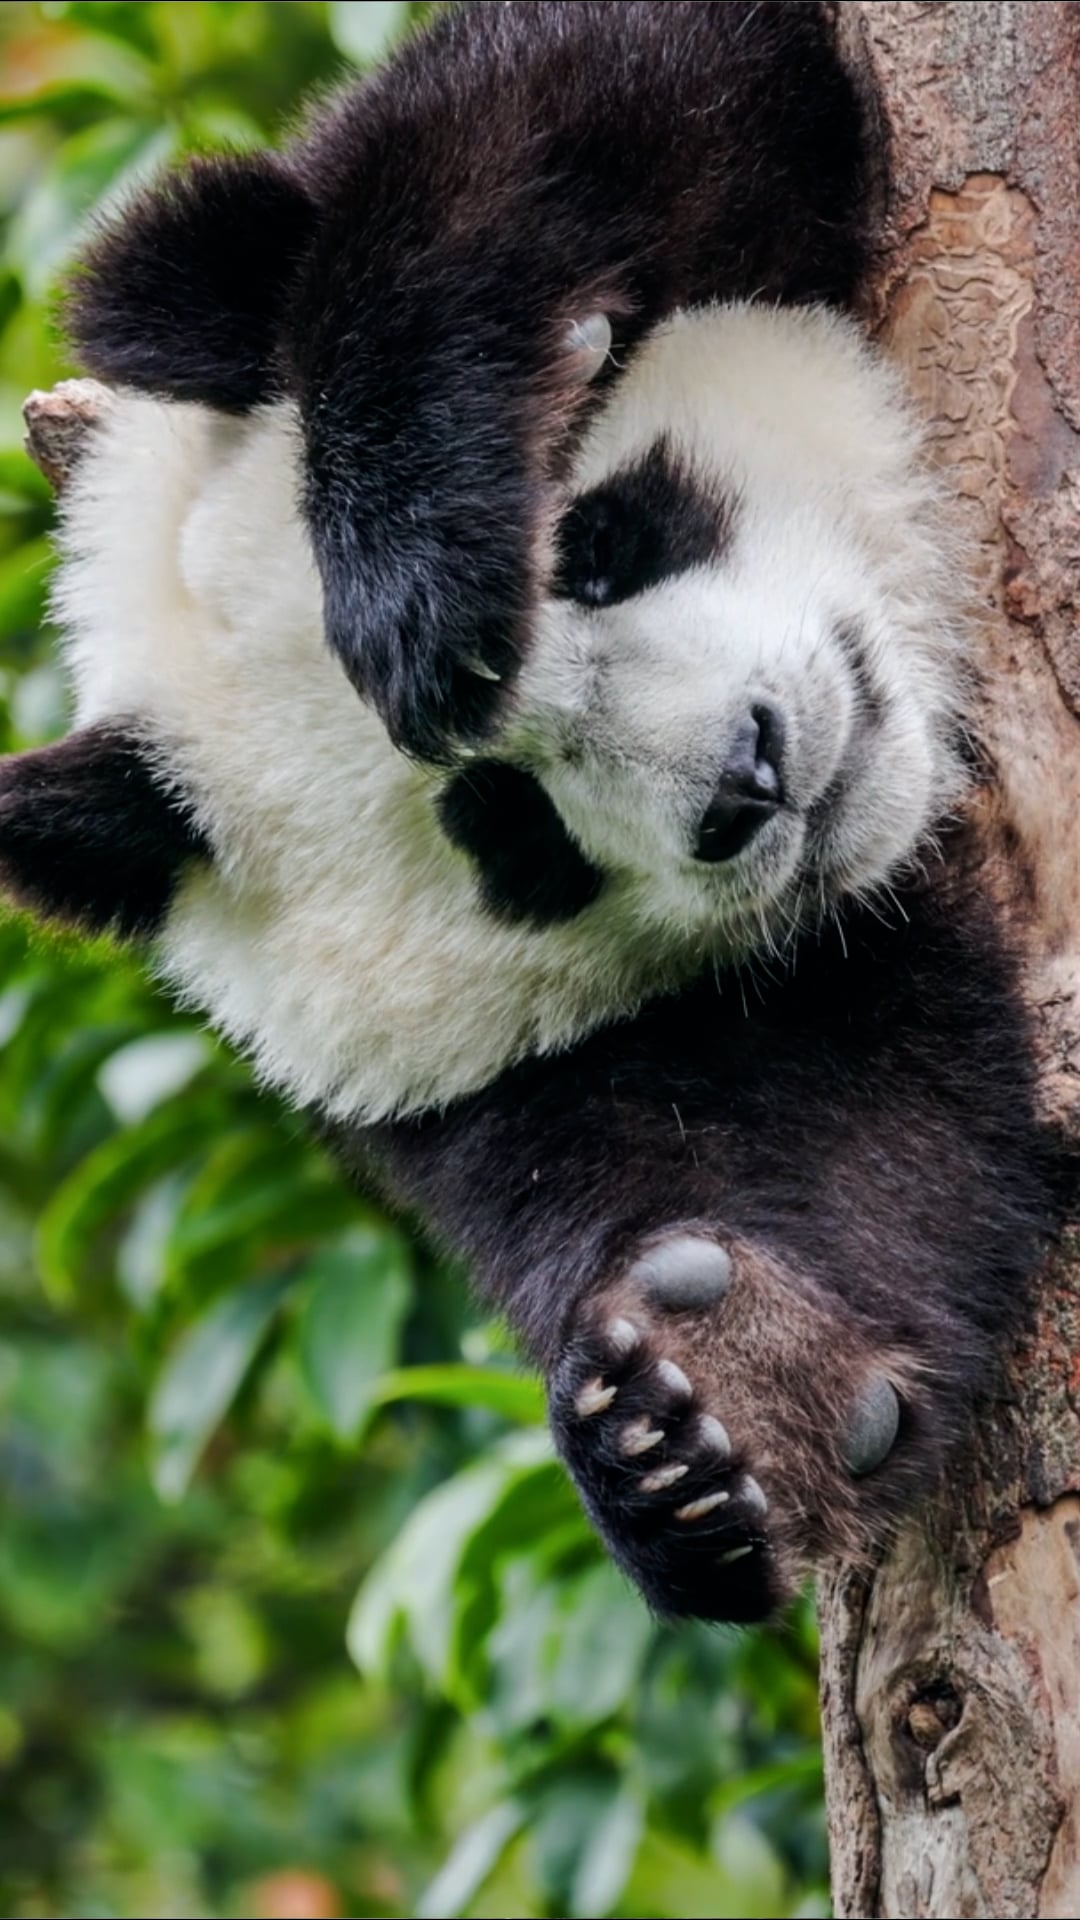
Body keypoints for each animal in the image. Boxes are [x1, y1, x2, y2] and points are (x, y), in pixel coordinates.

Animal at [0, 0, 1057, 1623]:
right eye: (517, 837)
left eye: (600, 544)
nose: (751, 779)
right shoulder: (562, 1065)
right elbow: (850, 1157)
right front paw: (706, 1403)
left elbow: (559, 115)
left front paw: (413, 570)